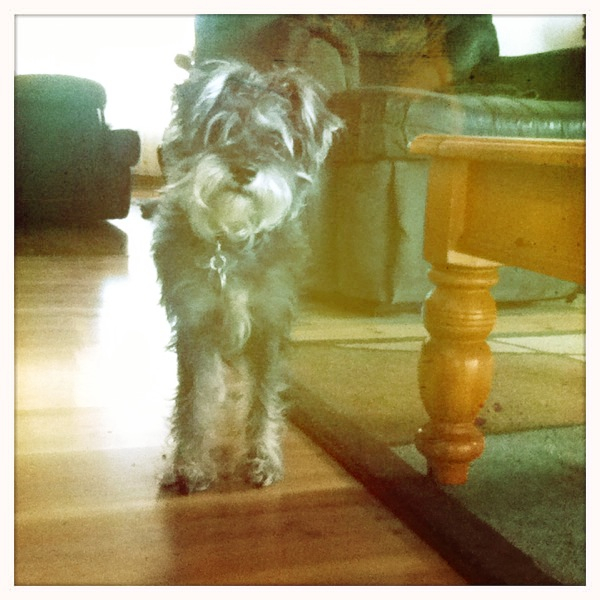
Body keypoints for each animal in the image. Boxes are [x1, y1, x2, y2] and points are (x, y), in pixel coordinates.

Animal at [152, 59, 343, 493]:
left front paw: (262, 459)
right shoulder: (195, 325)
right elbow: (193, 399)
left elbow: (264, 398)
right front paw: (189, 465)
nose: (243, 169)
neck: (233, 241)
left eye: (275, 140)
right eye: (219, 129)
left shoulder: (269, 326)